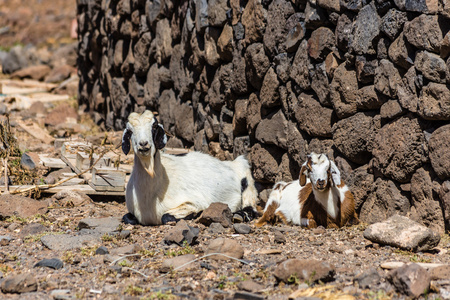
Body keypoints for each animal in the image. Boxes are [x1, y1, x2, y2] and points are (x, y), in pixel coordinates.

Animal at [121, 110, 258, 225]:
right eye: (130, 131)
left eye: (154, 127)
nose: (143, 144)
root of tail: (231, 163)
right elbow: (126, 217)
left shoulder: (195, 202)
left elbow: (166, 217)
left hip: (245, 176)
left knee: (251, 207)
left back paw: (240, 215)